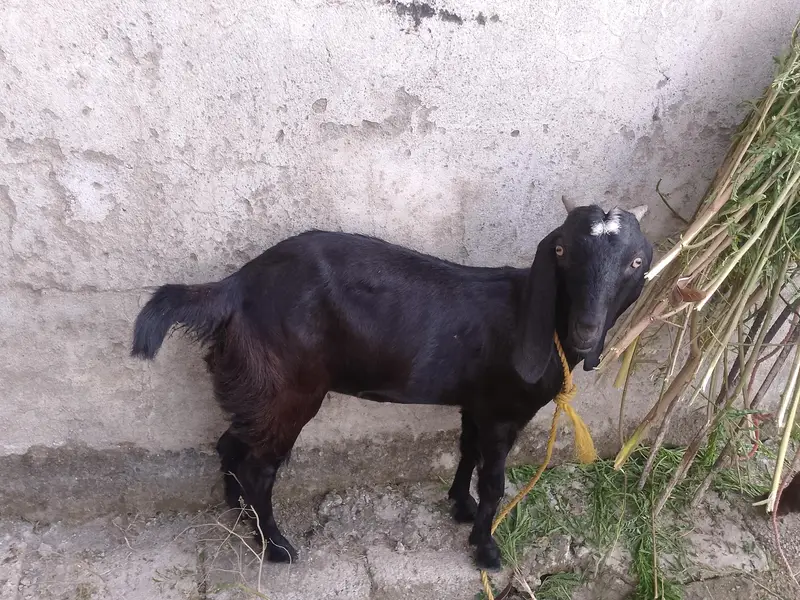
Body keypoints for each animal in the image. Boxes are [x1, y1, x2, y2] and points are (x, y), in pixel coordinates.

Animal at [131, 200, 652, 570]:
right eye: (562, 251)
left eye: (636, 262)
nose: (587, 332)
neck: (533, 317)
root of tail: (235, 288)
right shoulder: (503, 413)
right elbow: (495, 481)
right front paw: (486, 550)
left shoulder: (477, 403)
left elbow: (466, 451)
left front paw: (460, 505)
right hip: (289, 389)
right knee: (257, 467)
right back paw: (277, 547)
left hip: (258, 389)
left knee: (230, 445)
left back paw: (243, 519)